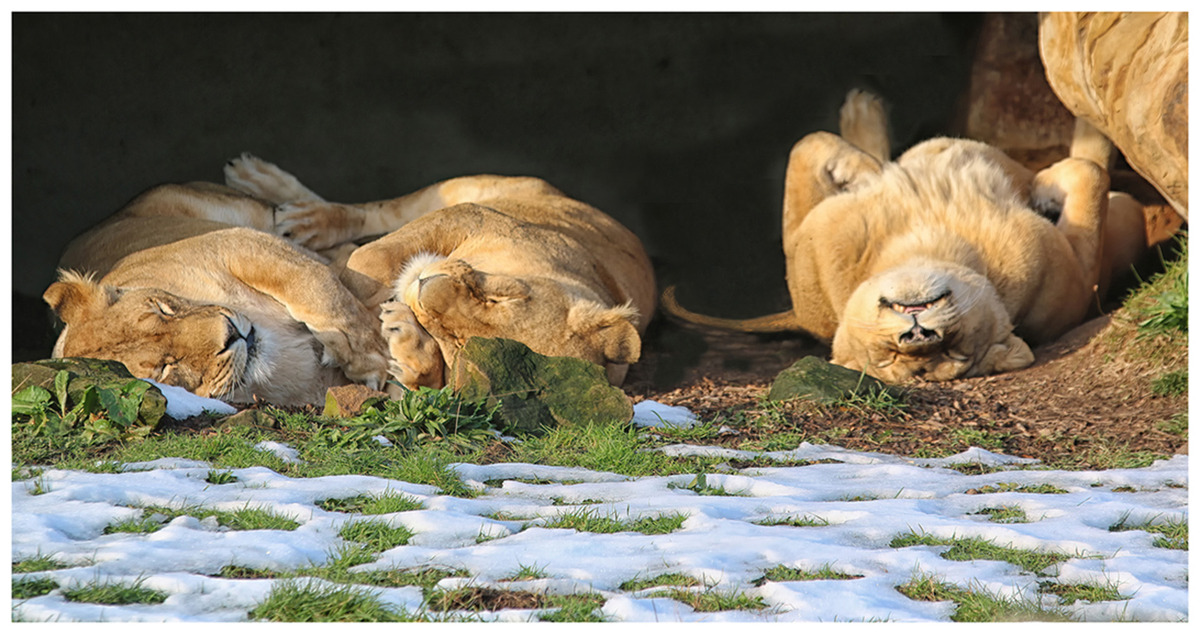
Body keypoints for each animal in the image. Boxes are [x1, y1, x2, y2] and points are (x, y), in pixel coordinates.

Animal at [44, 158, 391, 406]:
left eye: (162, 309)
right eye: (166, 367)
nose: (231, 335)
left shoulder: (234, 244)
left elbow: (315, 283)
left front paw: (372, 355)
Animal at [237, 170, 657, 389]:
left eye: (453, 339)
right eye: (500, 298)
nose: (425, 286)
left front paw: (405, 348)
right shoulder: (472, 214)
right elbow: (370, 259)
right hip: (472, 187)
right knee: (374, 212)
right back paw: (291, 209)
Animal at [663, 90, 1147, 382]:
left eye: (953, 348)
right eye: (890, 357)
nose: (917, 330)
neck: (925, 238)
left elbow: (807, 144)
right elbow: (1090, 172)